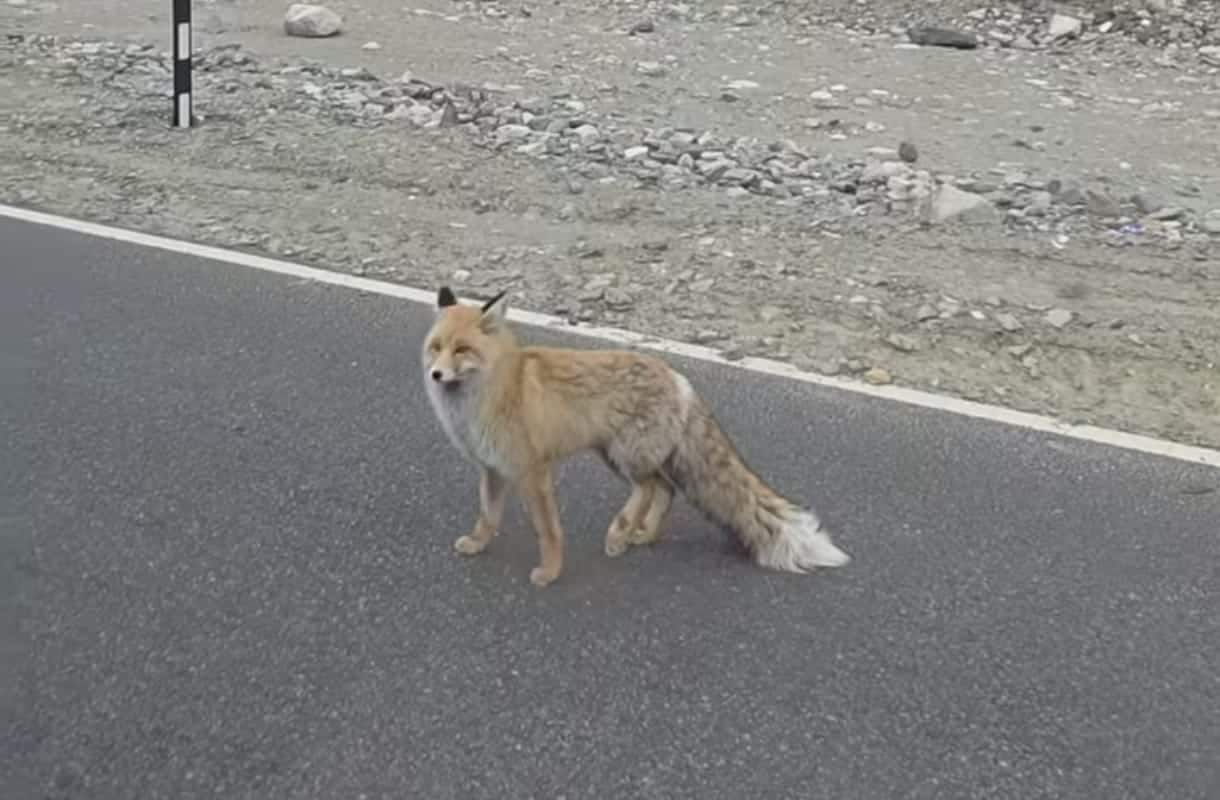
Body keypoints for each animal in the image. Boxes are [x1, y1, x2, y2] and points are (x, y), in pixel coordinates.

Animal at [421, 285, 851, 587]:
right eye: (436, 347)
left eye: (462, 350)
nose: (436, 375)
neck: (492, 393)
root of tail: (679, 379)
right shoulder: (492, 469)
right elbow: (487, 516)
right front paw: (477, 544)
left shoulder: (533, 470)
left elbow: (548, 532)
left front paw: (550, 573)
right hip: (618, 456)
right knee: (664, 489)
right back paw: (640, 535)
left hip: (623, 454)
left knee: (647, 489)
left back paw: (619, 533)